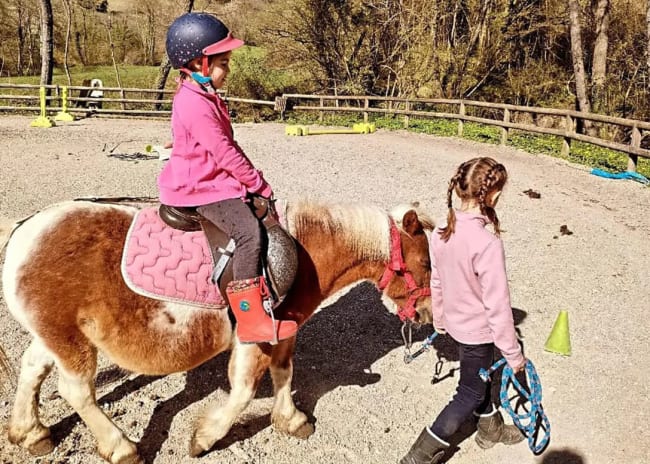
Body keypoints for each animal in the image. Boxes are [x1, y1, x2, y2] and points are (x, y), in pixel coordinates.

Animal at [0, 198, 434, 464]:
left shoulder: (284, 330)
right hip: (71, 341)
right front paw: (205, 438)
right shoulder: (254, 335)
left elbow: (284, 373)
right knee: (75, 390)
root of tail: (24, 229)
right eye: (428, 264)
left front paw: (291, 420)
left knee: (32, 367)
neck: (305, 251)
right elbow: (243, 390)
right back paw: (121, 447)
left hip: (55, 335)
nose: (429, 315)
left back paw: (30, 433)